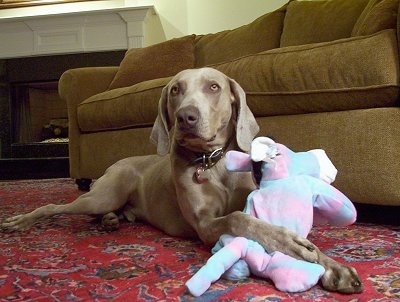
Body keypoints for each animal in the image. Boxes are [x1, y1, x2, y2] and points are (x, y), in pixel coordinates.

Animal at [2, 67, 362, 294]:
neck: (211, 162)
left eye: (214, 87)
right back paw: (20, 220)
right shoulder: (204, 225)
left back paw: (111, 221)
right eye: (175, 89)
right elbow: (240, 218)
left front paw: (334, 266)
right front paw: (288, 242)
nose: (185, 118)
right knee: (54, 205)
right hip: (102, 193)